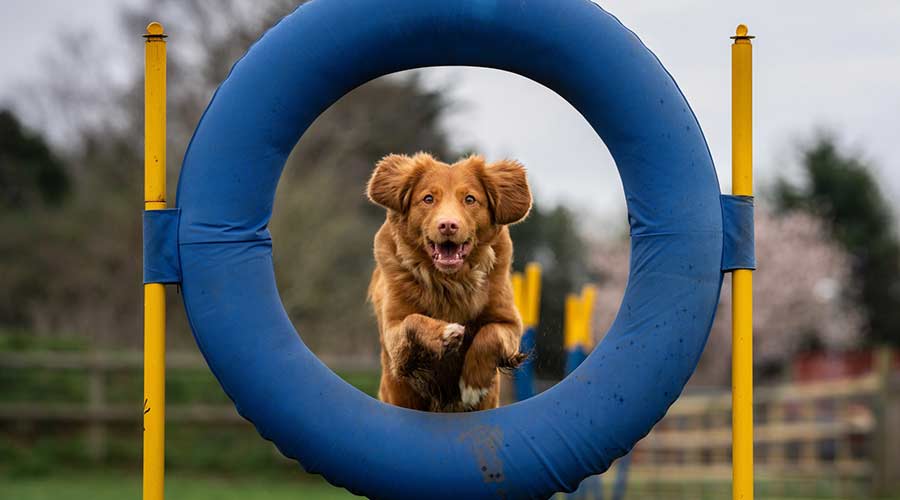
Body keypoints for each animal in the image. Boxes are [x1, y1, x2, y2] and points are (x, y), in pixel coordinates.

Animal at [366, 154, 532, 412]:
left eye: (470, 199)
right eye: (428, 198)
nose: (447, 225)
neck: (450, 280)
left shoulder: (509, 322)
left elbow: (491, 335)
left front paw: (472, 386)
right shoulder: (393, 332)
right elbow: (412, 320)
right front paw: (445, 333)